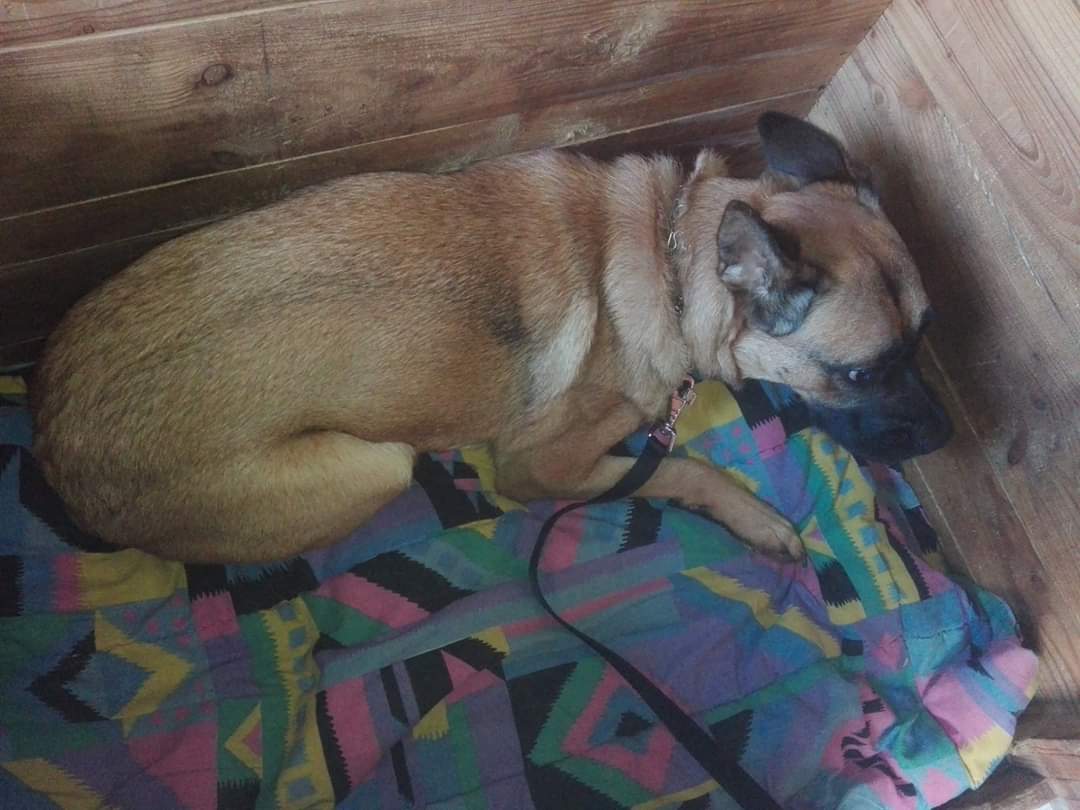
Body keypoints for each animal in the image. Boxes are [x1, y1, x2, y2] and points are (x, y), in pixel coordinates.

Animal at [30, 113, 952, 564]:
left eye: (925, 339)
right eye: (863, 374)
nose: (945, 435)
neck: (674, 251)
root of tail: (56, 452)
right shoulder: (541, 467)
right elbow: (679, 466)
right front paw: (754, 519)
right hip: (378, 462)